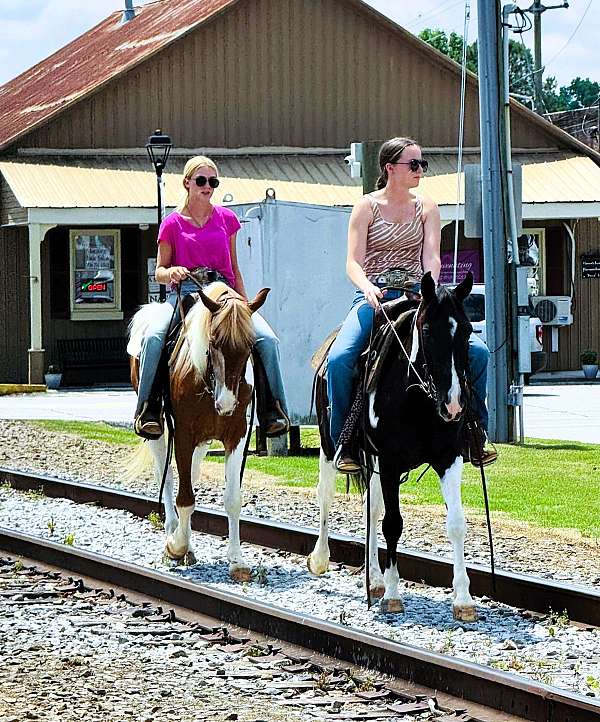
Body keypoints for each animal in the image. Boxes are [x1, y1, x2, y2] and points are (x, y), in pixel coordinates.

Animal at [127, 282, 268, 580]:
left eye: (250, 346)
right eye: (213, 342)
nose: (226, 403)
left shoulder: (235, 435)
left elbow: (232, 499)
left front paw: (237, 561)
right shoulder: (183, 434)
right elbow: (185, 497)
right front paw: (176, 547)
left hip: (203, 441)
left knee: (188, 474)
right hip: (158, 432)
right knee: (168, 476)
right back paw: (175, 538)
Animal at [310, 270, 478, 620]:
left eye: (467, 329)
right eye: (426, 330)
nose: (454, 404)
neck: (417, 398)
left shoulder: (449, 457)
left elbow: (456, 523)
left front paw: (463, 600)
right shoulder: (389, 461)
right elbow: (393, 524)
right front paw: (392, 595)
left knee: (371, 509)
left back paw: (373, 579)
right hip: (330, 445)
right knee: (327, 495)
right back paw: (320, 560)